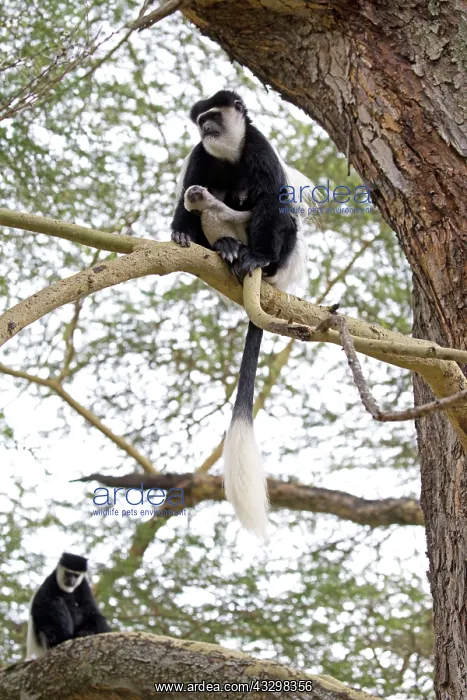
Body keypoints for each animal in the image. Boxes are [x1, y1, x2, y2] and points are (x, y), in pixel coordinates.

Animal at [171, 90, 310, 538]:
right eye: (202, 122)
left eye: (214, 116)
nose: (206, 127)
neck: (229, 154)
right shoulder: (200, 155)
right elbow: (185, 196)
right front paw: (180, 231)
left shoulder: (260, 148)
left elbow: (271, 199)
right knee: (209, 209)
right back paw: (227, 248)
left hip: (284, 251)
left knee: (274, 216)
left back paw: (254, 257)